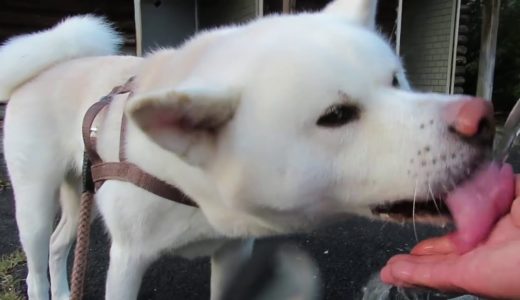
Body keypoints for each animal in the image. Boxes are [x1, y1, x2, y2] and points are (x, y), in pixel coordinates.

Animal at [0, 0, 512, 298]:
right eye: (336, 116)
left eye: (396, 80)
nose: (482, 119)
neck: (194, 189)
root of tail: (52, 61)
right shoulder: (128, 259)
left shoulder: (233, 253)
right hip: (33, 203)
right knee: (35, 264)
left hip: (78, 191)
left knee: (59, 245)